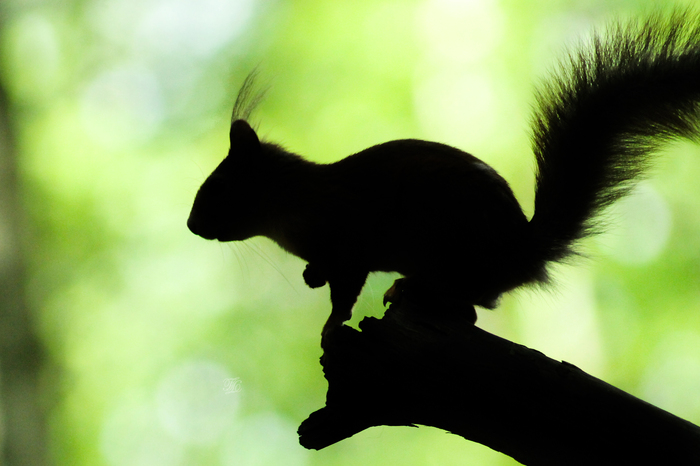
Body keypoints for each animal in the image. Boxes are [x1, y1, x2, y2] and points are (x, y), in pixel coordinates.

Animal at [188, 11, 700, 346]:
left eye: (218, 188)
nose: (192, 226)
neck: (296, 199)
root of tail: (522, 254)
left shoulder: (350, 244)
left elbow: (346, 291)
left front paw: (332, 326)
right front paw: (312, 277)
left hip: (451, 249)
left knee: (471, 308)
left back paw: (413, 288)